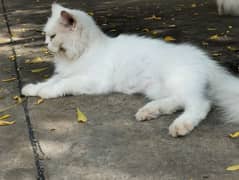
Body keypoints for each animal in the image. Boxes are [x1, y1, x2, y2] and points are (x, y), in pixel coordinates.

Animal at [21, 3, 239, 136]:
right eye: (46, 36)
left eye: (52, 36)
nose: (45, 45)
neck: (82, 53)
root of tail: (205, 59)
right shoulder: (66, 73)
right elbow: (50, 81)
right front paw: (32, 88)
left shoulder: (93, 80)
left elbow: (62, 84)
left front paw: (45, 92)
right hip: (159, 89)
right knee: (177, 101)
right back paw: (149, 111)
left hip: (178, 82)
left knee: (200, 104)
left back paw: (179, 125)